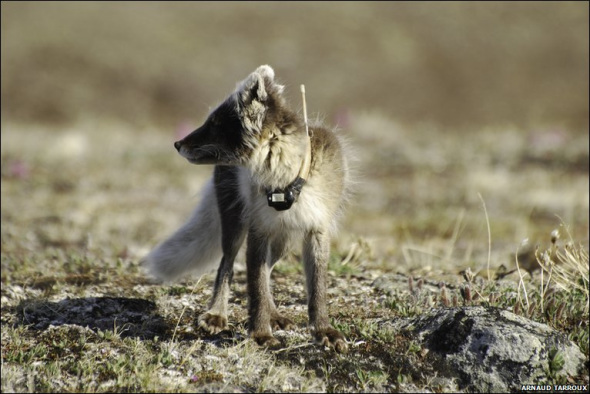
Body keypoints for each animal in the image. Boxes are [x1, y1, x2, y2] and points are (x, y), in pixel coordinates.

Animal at [147, 65, 352, 354]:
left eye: (216, 124)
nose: (177, 144)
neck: (287, 183)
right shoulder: (258, 229)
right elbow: (255, 287)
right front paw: (260, 334)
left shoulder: (317, 229)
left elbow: (316, 289)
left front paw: (323, 330)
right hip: (235, 222)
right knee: (227, 265)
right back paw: (217, 314)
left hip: (284, 240)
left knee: (267, 270)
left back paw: (274, 314)